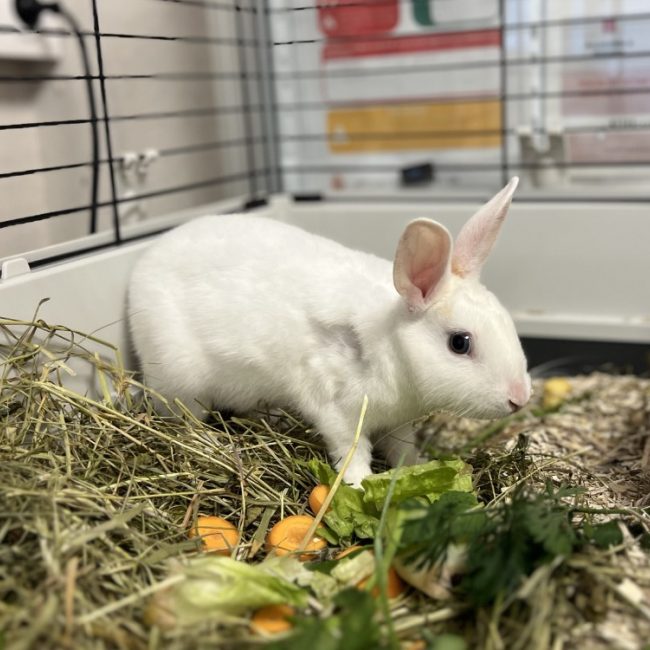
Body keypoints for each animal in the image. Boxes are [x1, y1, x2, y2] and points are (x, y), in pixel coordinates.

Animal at [128, 177, 531, 487]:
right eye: (459, 343)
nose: (520, 398)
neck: (389, 344)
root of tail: (144, 262)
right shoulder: (337, 411)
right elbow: (350, 449)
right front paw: (359, 484)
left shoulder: (398, 423)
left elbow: (403, 448)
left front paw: (417, 468)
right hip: (181, 383)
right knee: (185, 422)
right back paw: (218, 445)